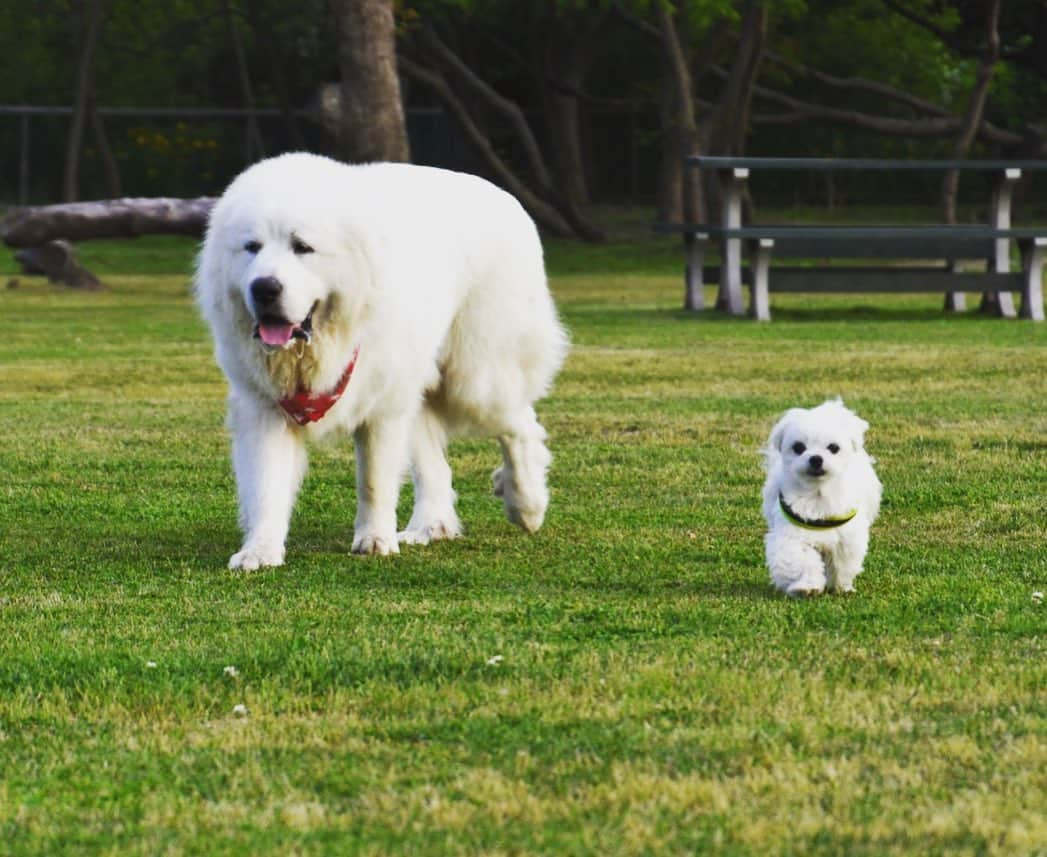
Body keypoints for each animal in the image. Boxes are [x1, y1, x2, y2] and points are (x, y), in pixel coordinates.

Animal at [198, 153, 569, 569]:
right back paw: (431, 526)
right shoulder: (266, 410)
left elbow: (374, 480)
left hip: (475, 379)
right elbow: (266, 485)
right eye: (252, 247)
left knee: (521, 425)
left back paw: (526, 503)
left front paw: (374, 539)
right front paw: (260, 550)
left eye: (302, 247)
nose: (264, 288)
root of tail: (504, 196)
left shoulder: (382, 408)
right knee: (437, 464)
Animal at [762, 399, 883, 598]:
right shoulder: (793, 536)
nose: (816, 459)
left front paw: (841, 587)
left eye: (833, 448)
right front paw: (807, 587)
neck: (818, 495)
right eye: (798, 447)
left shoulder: (846, 537)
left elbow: (841, 565)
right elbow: (804, 561)